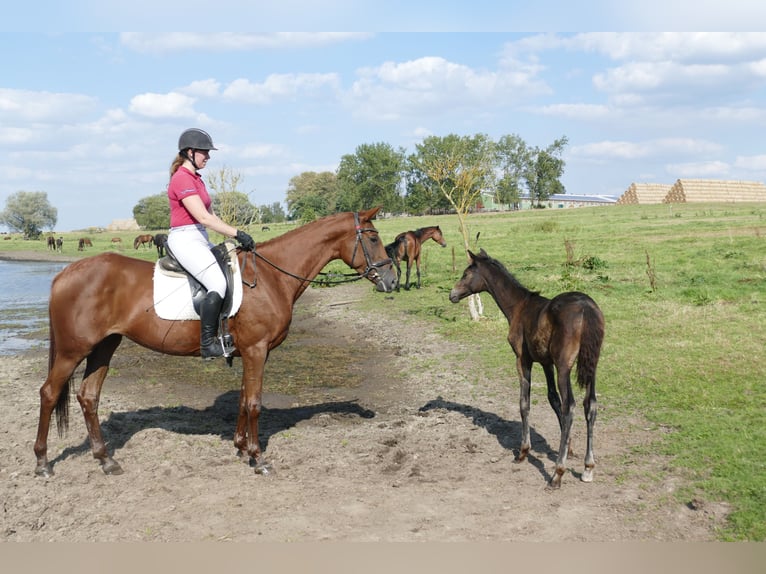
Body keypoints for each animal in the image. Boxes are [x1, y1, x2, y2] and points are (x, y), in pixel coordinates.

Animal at [33, 209, 400, 480]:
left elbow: (242, 401)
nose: (392, 281)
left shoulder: (250, 352)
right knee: (50, 393)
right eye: (373, 237)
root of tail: (66, 274)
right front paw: (258, 458)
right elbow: (254, 403)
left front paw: (240, 447)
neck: (270, 277)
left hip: (104, 347)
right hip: (72, 350)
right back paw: (42, 463)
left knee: (88, 397)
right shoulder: (256, 350)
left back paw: (106, 460)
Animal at [450, 249, 608, 490]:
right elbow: (553, 399)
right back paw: (588, 468)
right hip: (592, 366)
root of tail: (586, 307)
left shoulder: (523, 360)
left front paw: (523, 452)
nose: (452, 294)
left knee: (570, 406)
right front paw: (569, 447)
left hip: (564, 367)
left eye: (466, 274)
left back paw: (557, 474)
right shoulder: (546, 363)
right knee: (590, 405)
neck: (518, 307)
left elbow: (524, 403)